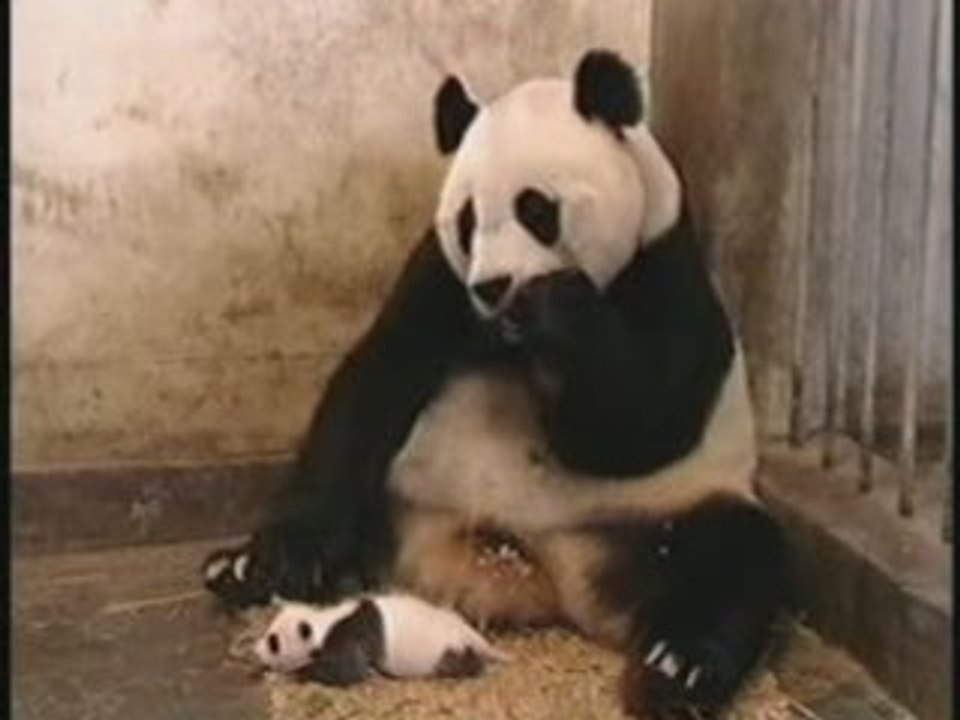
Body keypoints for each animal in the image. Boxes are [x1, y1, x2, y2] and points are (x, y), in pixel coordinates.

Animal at [203, 49, 791, 718]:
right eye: (467, 221)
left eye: (537, 209)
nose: (494, 286)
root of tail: (541, 577)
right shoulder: (440, 277)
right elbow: (376, 380)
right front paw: (282, 557)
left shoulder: (667, 270)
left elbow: (633, 431)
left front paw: (558, 309)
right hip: (404, 494)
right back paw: (244, 571)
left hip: (662, 513)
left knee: (734, 558)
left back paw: (676, 668)